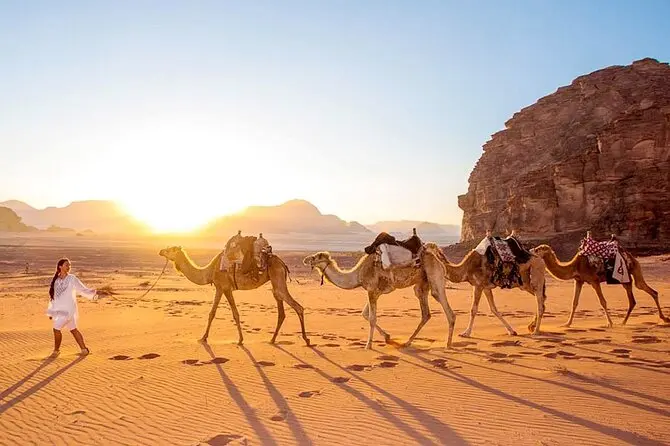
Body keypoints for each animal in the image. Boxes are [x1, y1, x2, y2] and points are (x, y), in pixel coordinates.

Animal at [158, 245, 310, 346]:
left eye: (170, 249)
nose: (160, 251)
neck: (209, 271)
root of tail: (283, 264)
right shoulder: (220, 288)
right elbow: (213, 313)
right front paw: (204, 337)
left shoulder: (225, 288)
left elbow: (231, 313)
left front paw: (239, 340)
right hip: (275, 283)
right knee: (281, 311)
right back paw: (272, 340)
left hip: (277, 278)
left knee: (298, 307)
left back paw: (306, 339)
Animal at [302, 242, 455, 349]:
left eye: (315, 257)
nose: (305, 259)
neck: (357, 275)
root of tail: (437, 258)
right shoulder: (375, 292)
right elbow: (364, 314)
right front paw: (387, 337)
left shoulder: (371, 290)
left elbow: (371, 318)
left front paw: (368, 345)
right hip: (421, 285)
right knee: (426, 314)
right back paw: (407, 342)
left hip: (435, 277)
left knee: (446, 308)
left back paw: (448, 345)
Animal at [531, 244, 669, 327]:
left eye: (538, 249)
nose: (531, 250)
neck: (575, 267)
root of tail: (632, 258)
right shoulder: (579, 280)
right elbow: (574, 303)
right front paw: (567, 324)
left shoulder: (594, 280)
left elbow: (603, 302)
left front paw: (610, 323)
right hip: (628, 278)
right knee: (639, 297)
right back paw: (625, 322)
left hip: (630, 273)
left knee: (642, 292)